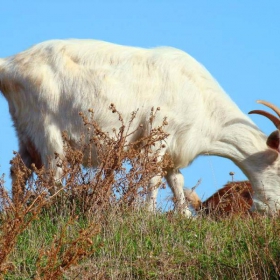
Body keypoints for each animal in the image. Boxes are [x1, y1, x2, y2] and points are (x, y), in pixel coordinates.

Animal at [0, 39, 280, 215]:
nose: (274, 212)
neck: (201, 98)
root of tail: (9, 65)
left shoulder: (174, 148)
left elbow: (176, 180)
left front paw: (184, 217)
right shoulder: (159, 136)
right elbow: (153, 176)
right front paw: (148, 212)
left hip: (24, 131)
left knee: (19, 169)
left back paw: (17, 211)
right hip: (46, 129)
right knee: (53, 174)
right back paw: (58, 208)